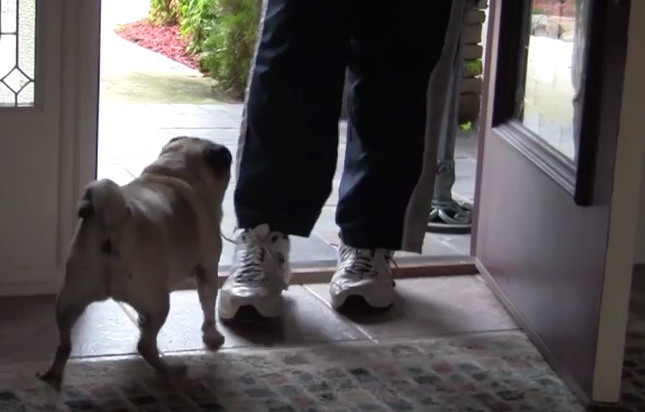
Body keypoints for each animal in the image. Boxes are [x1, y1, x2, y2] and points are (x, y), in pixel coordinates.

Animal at [37, 137, 231, 388]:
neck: (173, 171)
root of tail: (113, 220)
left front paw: (140, 321)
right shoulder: (208, 268)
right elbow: (208, 306)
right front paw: (212, 336)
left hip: (69, 299)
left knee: (64, 344)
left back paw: (53, 374)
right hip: (159, 304)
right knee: (146, 346)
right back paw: (169, 370)